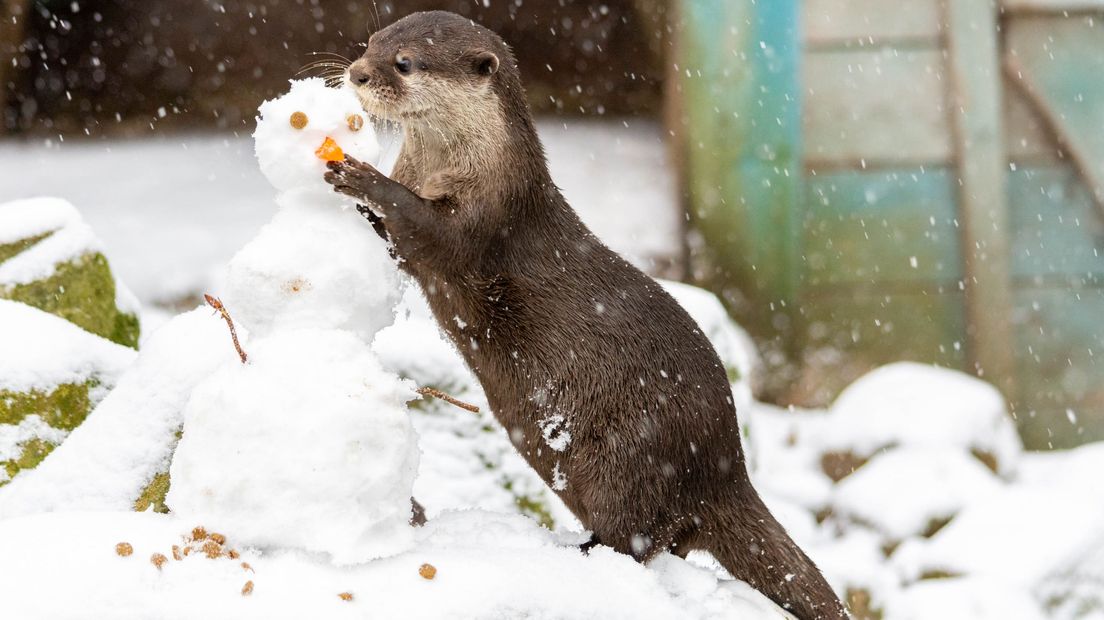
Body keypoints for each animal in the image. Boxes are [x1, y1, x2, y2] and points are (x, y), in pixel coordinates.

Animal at [324, 10, 843, 617]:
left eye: (405, 62)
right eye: (370, 43)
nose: (357, 73)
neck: (460, 166)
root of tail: (725, 469)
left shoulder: (488, 219)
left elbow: (429, 232)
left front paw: (360, 176)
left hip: (633, 459)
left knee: (638, 539)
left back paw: (578, 551)